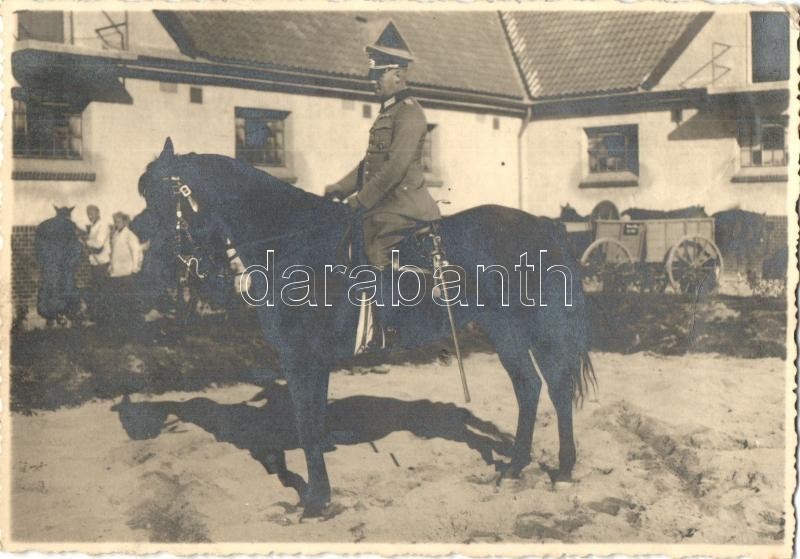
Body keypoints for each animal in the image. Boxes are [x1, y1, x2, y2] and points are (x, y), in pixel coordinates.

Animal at [138, 139, 592, 516]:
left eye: (159, 195)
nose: (151, 271)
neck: (292, 243)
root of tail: (544, 225)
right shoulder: (310, 360)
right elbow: (313, 423)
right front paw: (319, 493)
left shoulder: (301, 357)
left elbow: (308, 426)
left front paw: (317, 502)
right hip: (504, 329)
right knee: (529, 387)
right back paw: (514, 467)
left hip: (539, 327)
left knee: (556, 387)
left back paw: (564, 469)